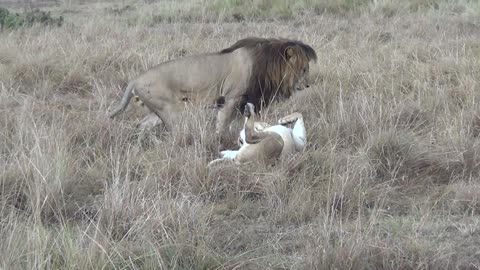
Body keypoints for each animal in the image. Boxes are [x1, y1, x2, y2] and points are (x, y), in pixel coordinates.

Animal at [109, 37, 318, 141]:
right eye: (304, 69)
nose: (308, 85)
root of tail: (135, 80)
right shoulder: (231, 98)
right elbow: (222, 124)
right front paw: (220, 141)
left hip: (157, 110)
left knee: (141, 125)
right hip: (170, 111)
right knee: (174, 133)